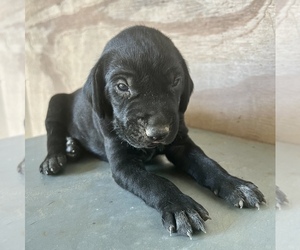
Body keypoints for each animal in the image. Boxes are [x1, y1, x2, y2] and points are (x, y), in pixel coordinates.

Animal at [39, 25, 264, 238]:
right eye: (122, 86)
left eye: (176, 81)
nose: (158, 132)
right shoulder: (124, 163)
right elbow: (155, 182)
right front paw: (180, 206)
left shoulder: (181, 143)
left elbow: (207, 164)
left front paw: (236, 185)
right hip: (55, 103)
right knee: (53, 133)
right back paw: (55, 158)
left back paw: (72, 148)